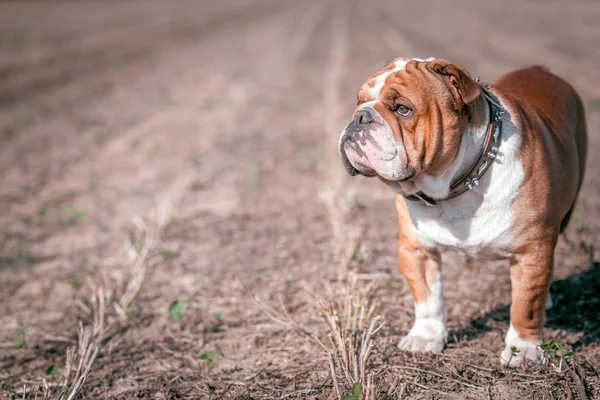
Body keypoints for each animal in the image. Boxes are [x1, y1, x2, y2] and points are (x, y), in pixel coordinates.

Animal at [338, 57, 584, 368]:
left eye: (402, 109)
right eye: (359, 101)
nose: (360, 117)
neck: (462, 182)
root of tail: (540, 70)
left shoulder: (532, 250)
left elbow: (526, 304)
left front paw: (523, 349)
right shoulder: (416, 249)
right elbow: (427, 297)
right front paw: (425, 337)